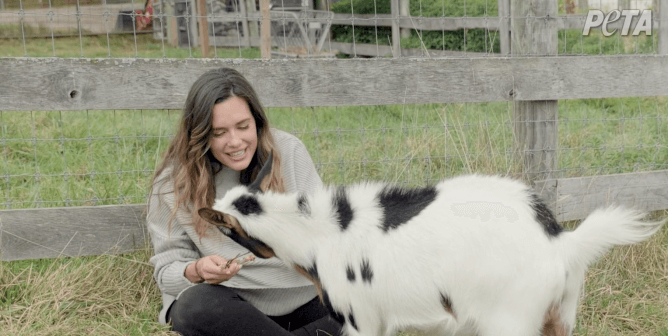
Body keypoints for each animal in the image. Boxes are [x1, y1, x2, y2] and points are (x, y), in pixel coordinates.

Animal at [198, 153, 664, 336]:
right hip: (560, 315)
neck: (321, 236)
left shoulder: (361, 318)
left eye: (225, 228)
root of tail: (560, 243)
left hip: (510, 320)